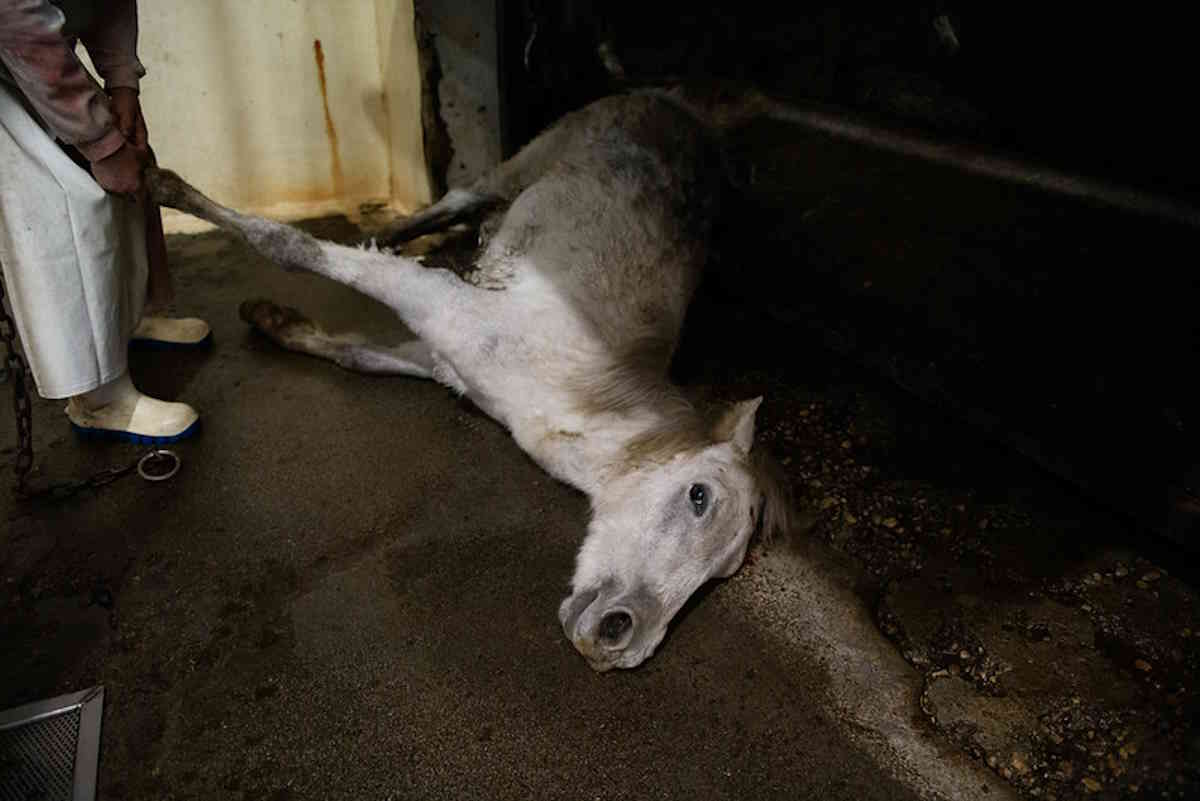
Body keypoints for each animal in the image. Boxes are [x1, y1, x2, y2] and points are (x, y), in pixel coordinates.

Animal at [145, 85, 795, 671]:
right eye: (699, 496)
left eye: (721, 573)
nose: (619, 639)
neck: (571, 388)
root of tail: (681, 107)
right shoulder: (441, 305)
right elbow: (287, 244)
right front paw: (165, 185)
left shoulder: (443, 359)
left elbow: (354, 353)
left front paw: (274, 320)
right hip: (515, 167)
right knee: (451, 204)